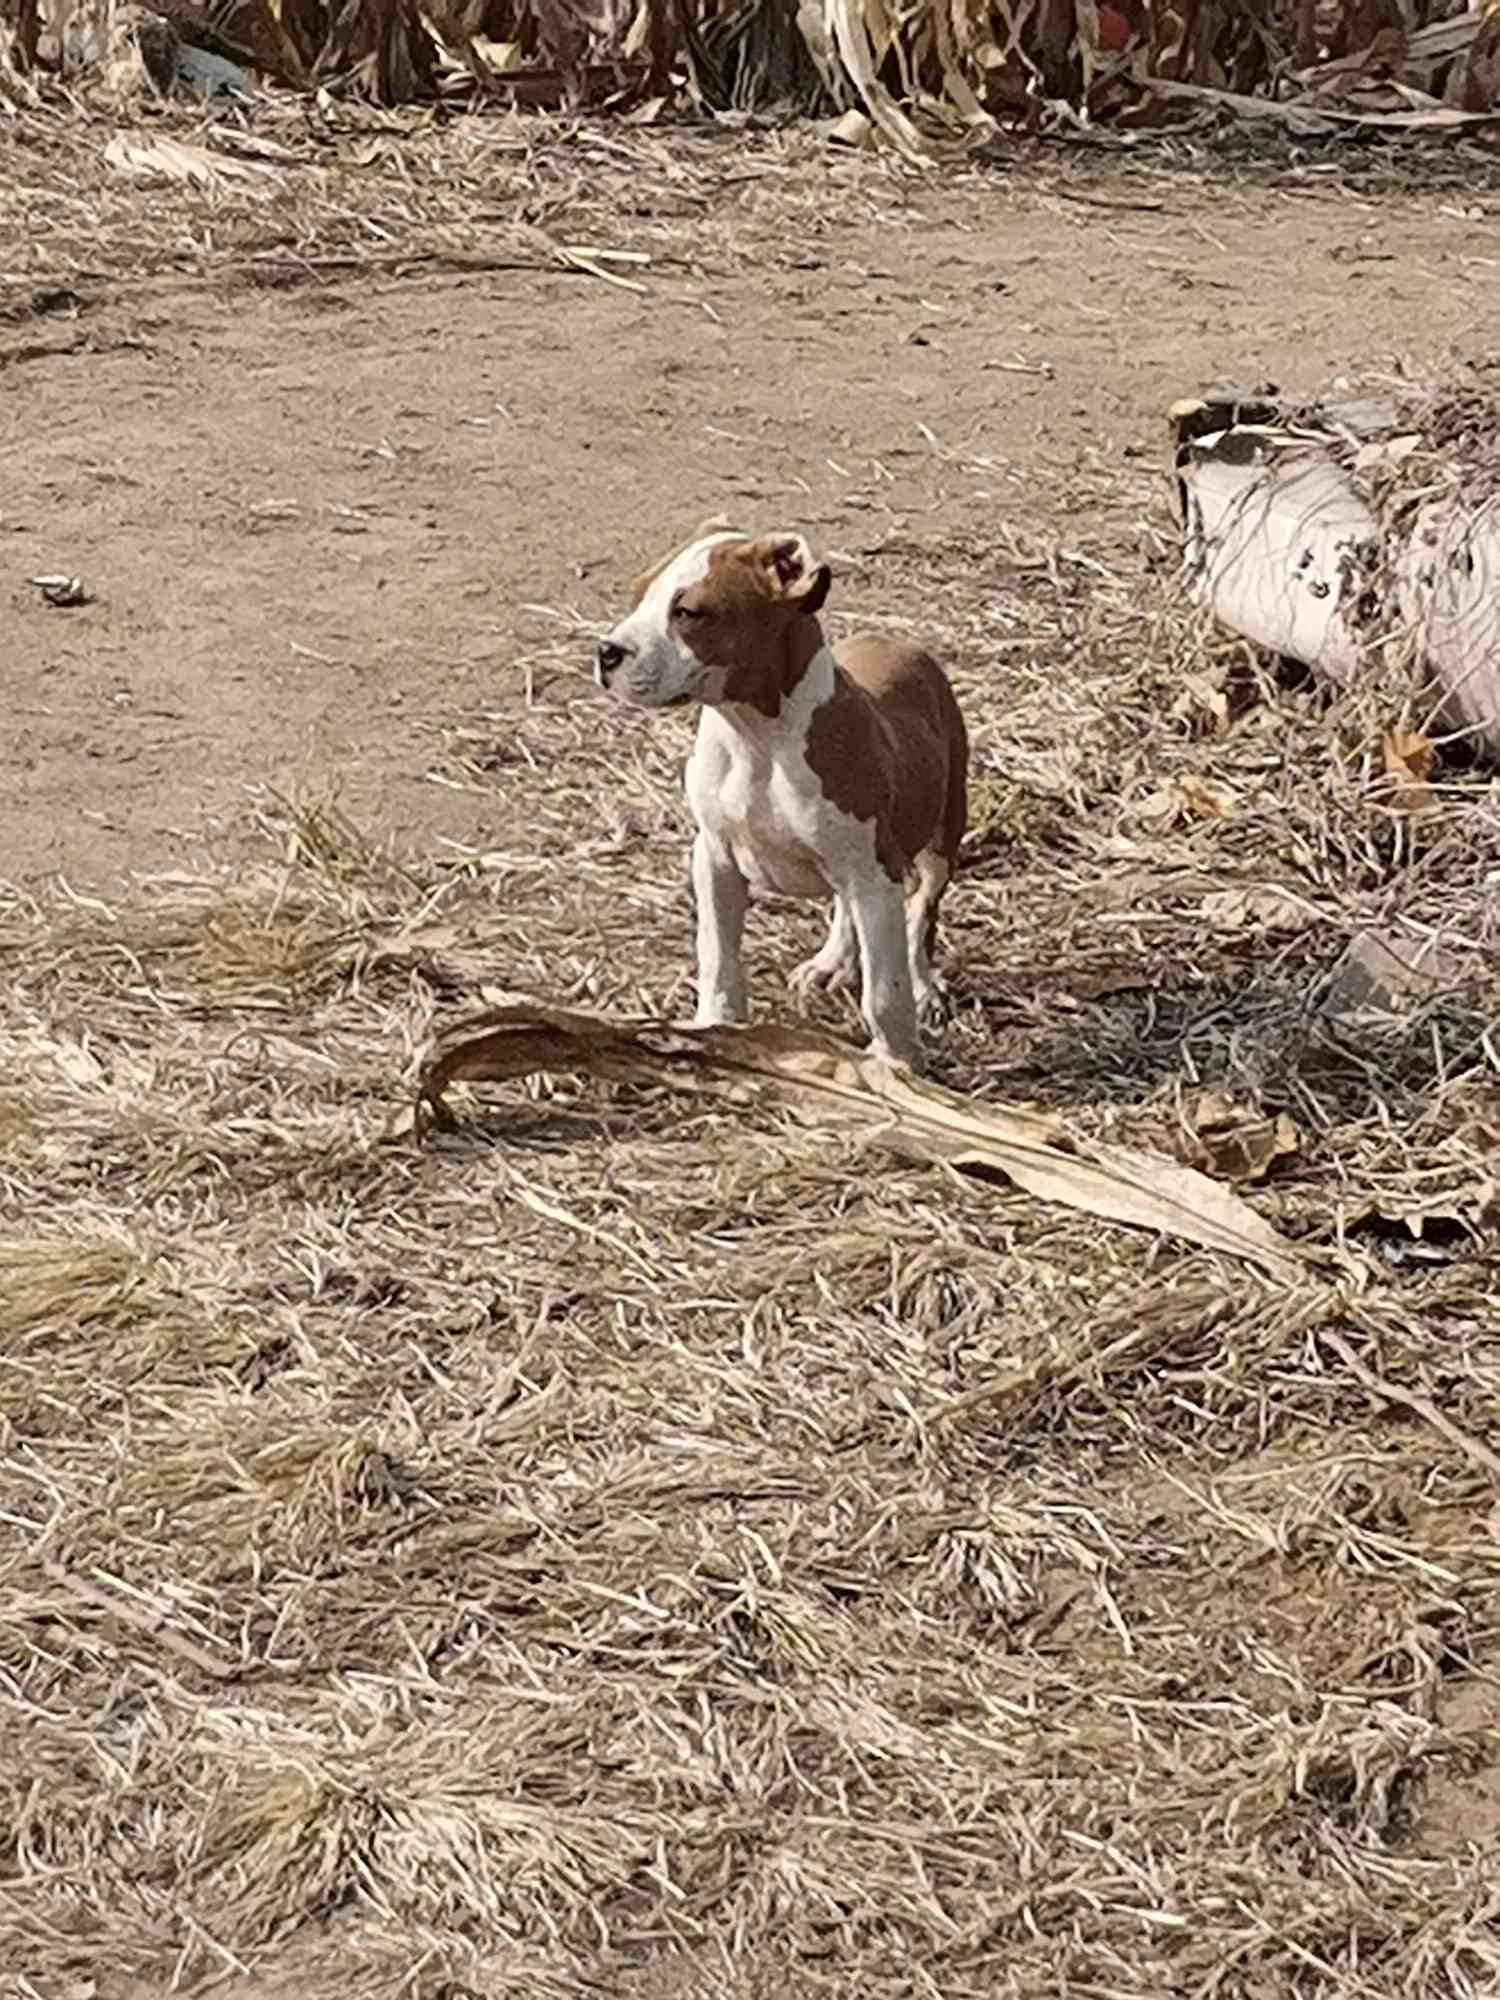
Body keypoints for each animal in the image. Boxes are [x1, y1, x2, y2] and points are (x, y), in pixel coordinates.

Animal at [592, 524, 968, 1072]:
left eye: (688, 612)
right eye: (638, 593)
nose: (606, 652)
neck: (757, 736)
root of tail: (898, 641)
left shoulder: (875, 874)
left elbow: (885, 986)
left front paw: (896, 1062)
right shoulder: (714, 857)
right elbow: (718, 956)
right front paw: (715, 1027)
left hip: (941, 836)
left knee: (920, 914)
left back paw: (924, 989)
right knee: (846, 907)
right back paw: (830, 963)